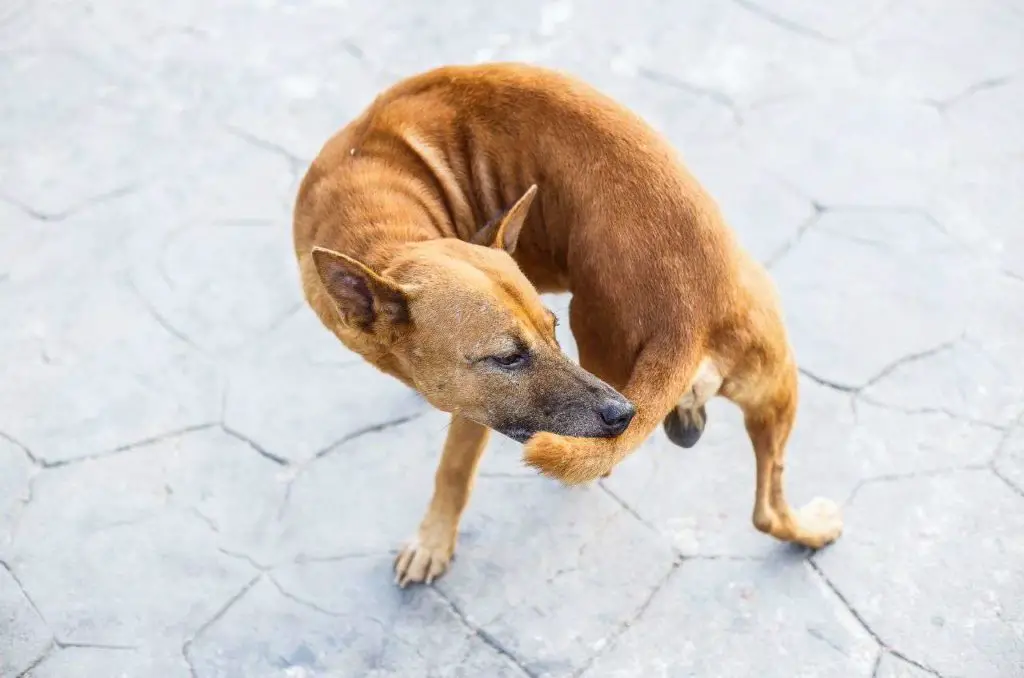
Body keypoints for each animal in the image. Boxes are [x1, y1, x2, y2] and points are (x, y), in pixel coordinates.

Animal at [292, 61, 843, 585]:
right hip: (771, 386)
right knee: (767, 509)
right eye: (508, 357)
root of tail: (689, 308)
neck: (382, 224)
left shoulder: (475, 412)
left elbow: (451, 470)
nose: (623, 414)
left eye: (551, 331)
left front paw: (432, 541)